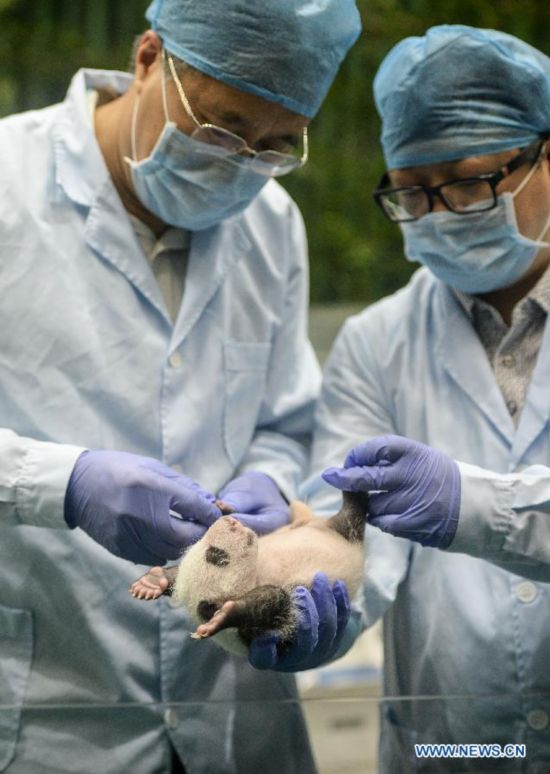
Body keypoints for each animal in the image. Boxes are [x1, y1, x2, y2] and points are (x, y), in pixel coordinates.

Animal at [131, 494, 368, 656]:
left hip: (327, 529)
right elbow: (276, 602)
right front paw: (224, 616)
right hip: (344, 533)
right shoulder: (269, 633)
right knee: (353, 515)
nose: (231, 522)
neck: (257, 572)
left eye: (205, 548)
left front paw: (153, 581)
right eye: (216, 555)